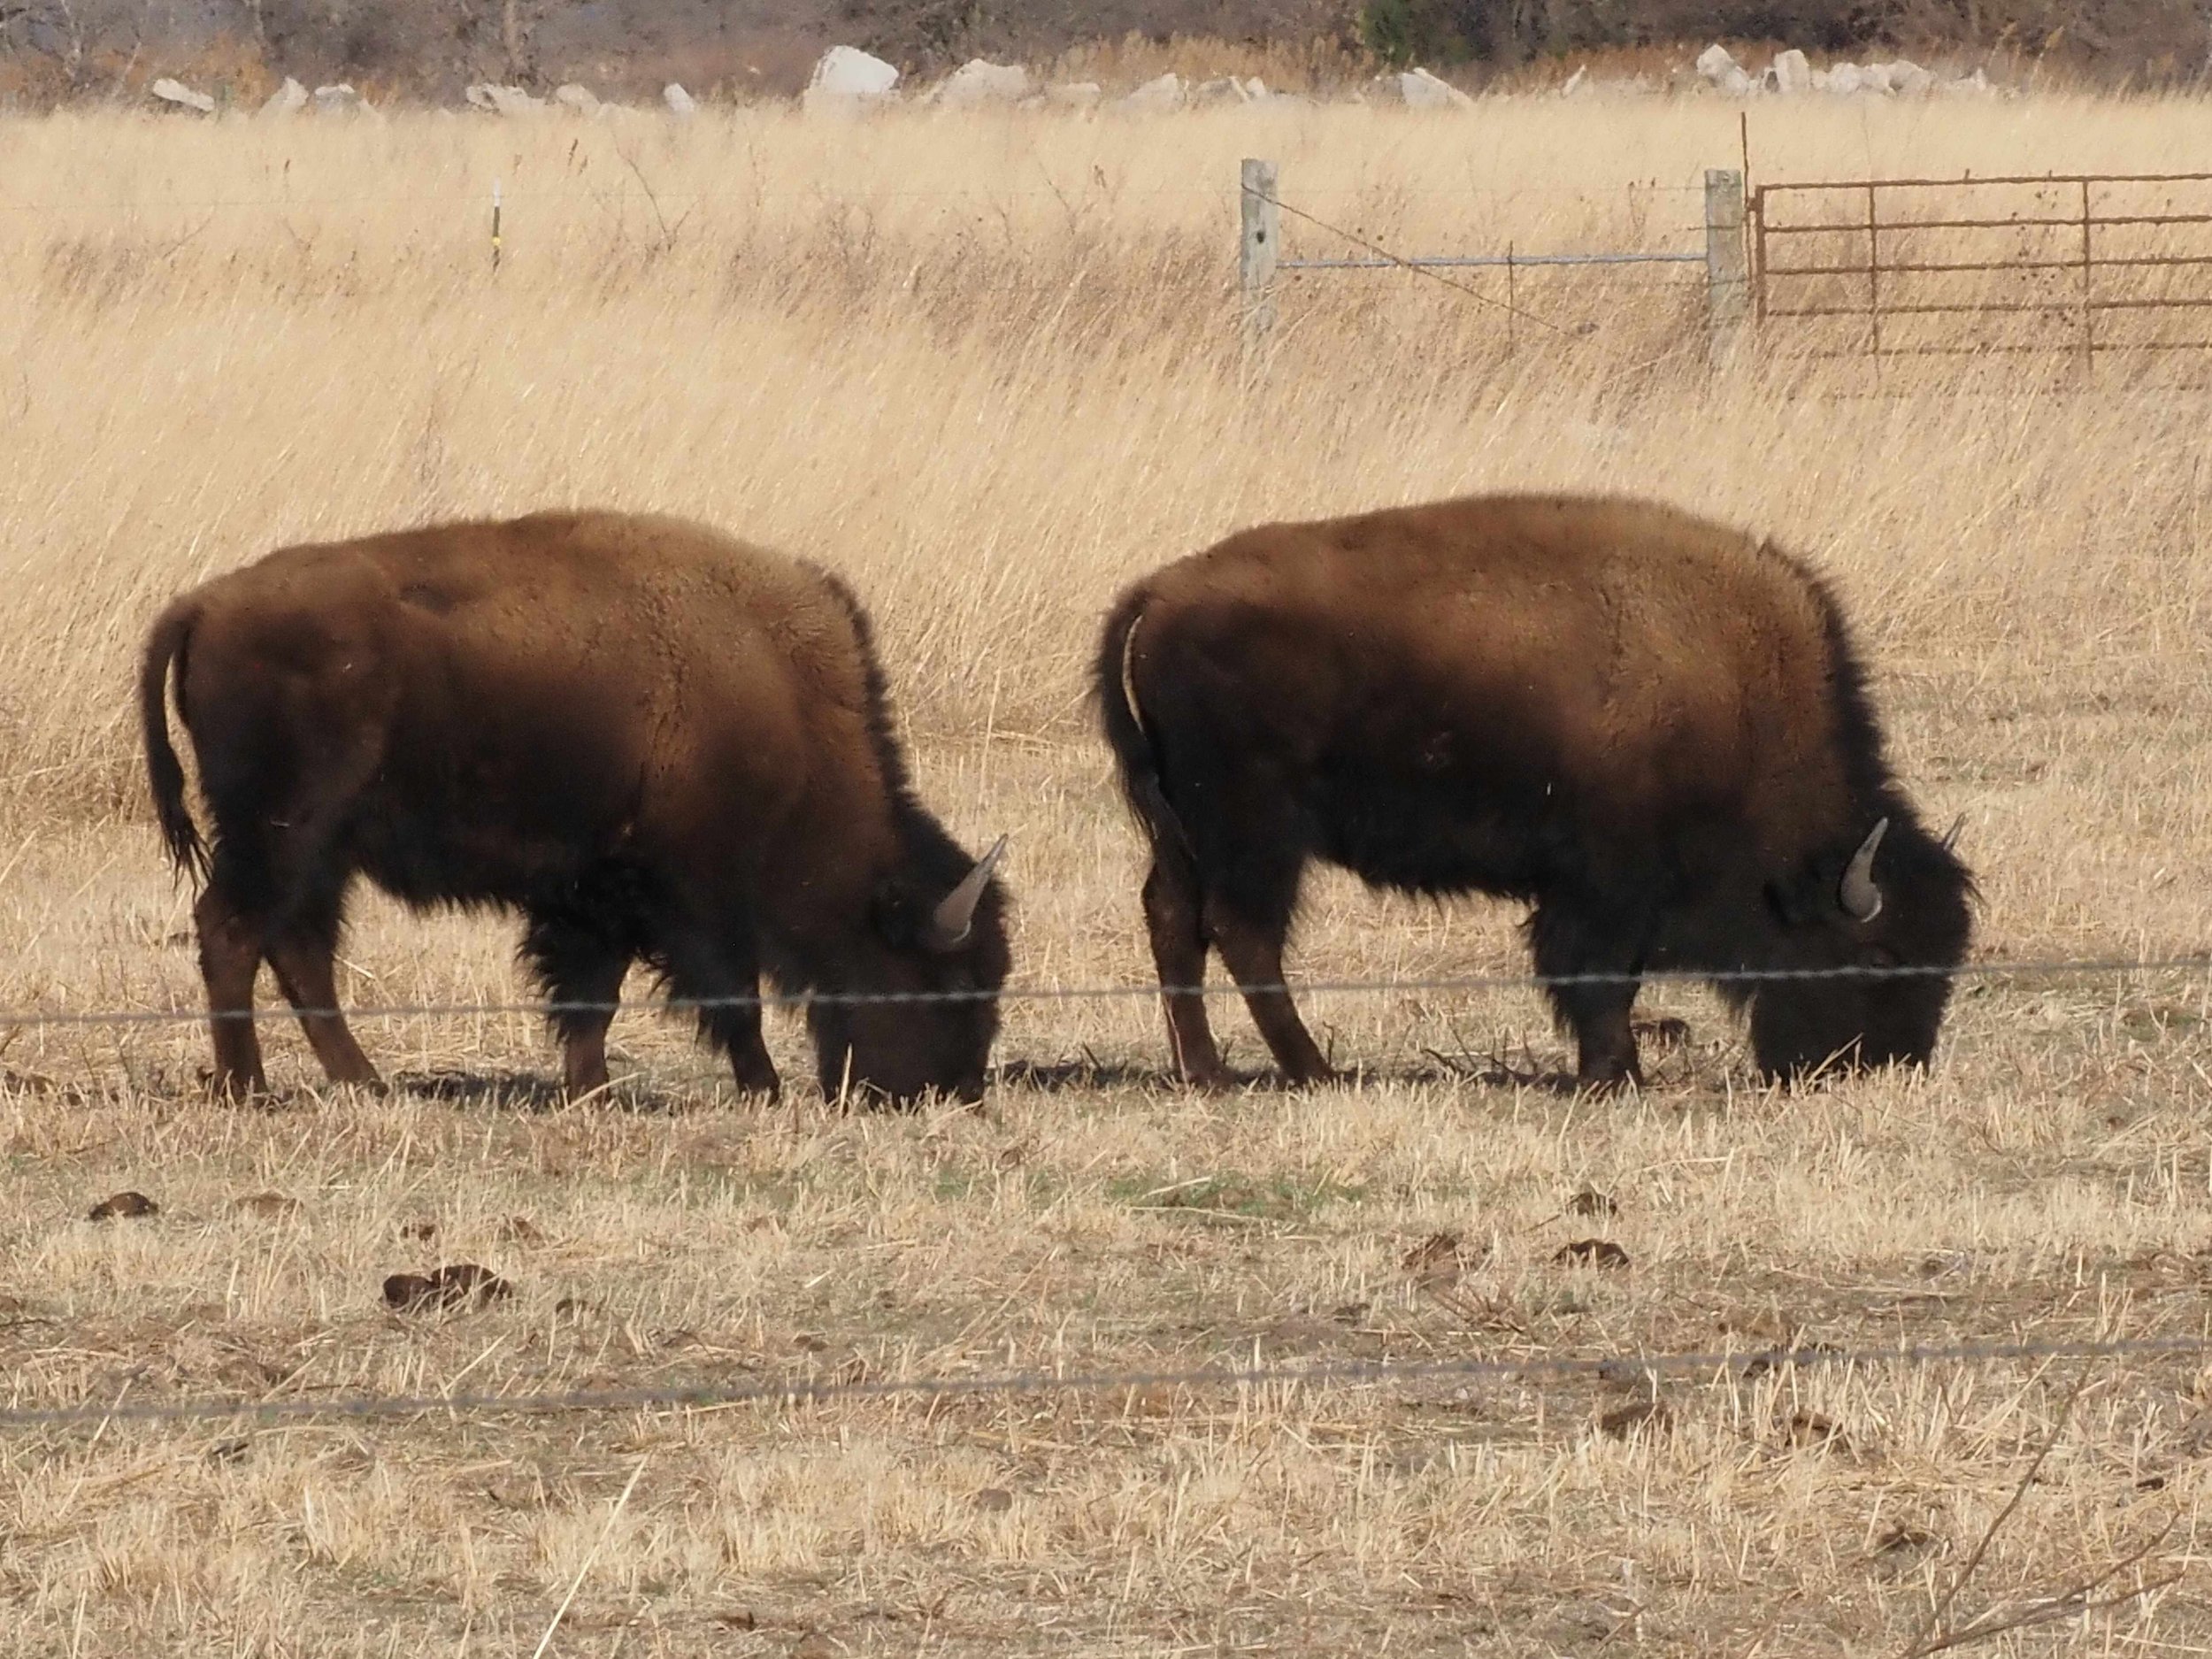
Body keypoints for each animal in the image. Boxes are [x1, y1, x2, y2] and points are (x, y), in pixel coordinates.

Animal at [140, 509, 1010, 1105]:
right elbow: (730, 996)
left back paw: (366, 1081)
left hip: (321, 850)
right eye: (949, 980)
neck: (779, 702)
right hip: (285, 832)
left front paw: (589, 1087)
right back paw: (250, 1089)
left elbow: (594, 991)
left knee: (297, 947)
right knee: (234, 929)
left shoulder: (598, 892)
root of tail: (203, 604)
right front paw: (762, 1085)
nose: (957, 1090)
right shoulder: (689, 895)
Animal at [1097, 493, 1973, 1090]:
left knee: (1174, 919)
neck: (1731, 697)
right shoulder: (1606, 885)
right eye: (1880, 957)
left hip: (1185, 828)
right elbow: (1598, 973)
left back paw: (1207, 1070)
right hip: (1254, 828)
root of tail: (1158, 594)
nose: (1888, 1065)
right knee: (1242, 932)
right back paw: (1313, 1070)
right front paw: (1615, 1074)